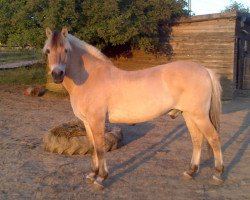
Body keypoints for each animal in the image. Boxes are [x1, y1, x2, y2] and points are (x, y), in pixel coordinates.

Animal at [43, 27, 225, 189]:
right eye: (48, 51)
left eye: (66, 50)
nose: (57, 75)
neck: (90, 78)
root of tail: (205, 70)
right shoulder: (87, 123)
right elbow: (92, 147)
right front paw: (92, 174)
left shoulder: (97, 121)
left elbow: (101, 149)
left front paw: (101, 179)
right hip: (189, 115)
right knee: (197, 139)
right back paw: (190, 171)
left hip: (199, 115)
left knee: (213, 138)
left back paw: (218, 174)